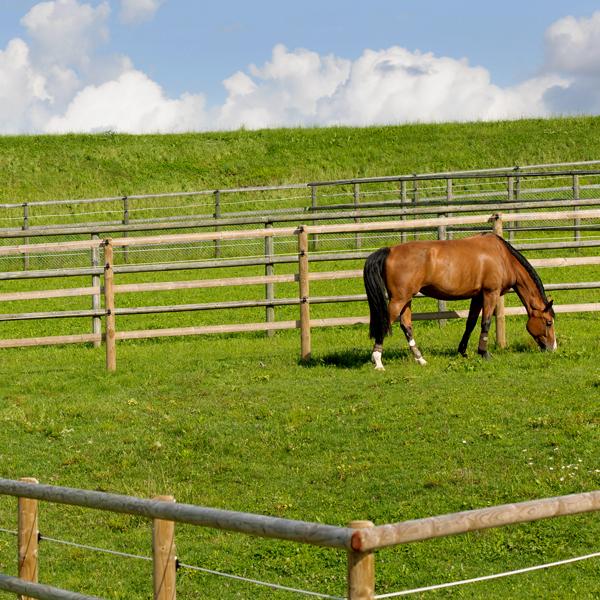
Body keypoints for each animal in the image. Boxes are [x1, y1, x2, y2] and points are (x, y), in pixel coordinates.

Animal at [364, 231, 556, 368]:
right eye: (548, 322)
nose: (552, 348)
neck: (502, 256)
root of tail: (390, 250)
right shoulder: (490, 293)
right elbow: (486, 323)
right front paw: (484, 353)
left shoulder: (477, 296)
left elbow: (470, 323)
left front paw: (463, 351)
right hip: (398, 300)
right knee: (385, 322)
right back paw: (378, 361)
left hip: (406, 300)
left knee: (406, 326)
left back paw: (420, 359)